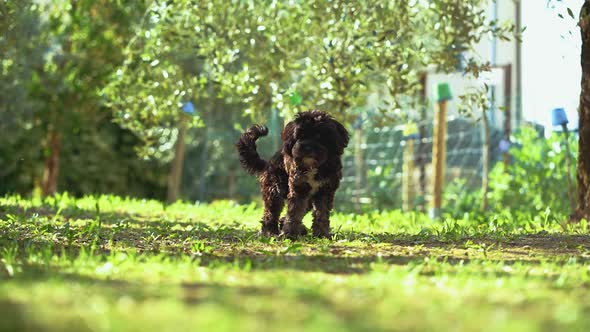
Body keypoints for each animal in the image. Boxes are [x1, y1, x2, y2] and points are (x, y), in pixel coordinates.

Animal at [236, 111, 350, 239]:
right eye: (300, 135)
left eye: (319, 136)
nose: (307, 147)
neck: (313, 167)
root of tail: (268, 164)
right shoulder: (298, 189)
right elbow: (294, 213)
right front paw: (289, 235)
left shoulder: (325, 191)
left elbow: (321, 214)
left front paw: (322, 234)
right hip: (274, 191)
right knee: (270, 213)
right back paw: (270, 231)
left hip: (307, 200)